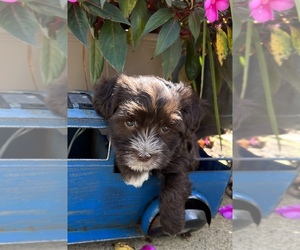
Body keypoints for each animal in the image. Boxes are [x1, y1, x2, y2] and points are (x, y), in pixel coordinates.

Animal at [93, 73, 206, 234]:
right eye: (130, 123)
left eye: (165, 129)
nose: (144, 156)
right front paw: (133, 173)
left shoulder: (180, 156)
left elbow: (176, 181)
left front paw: (173, 224)